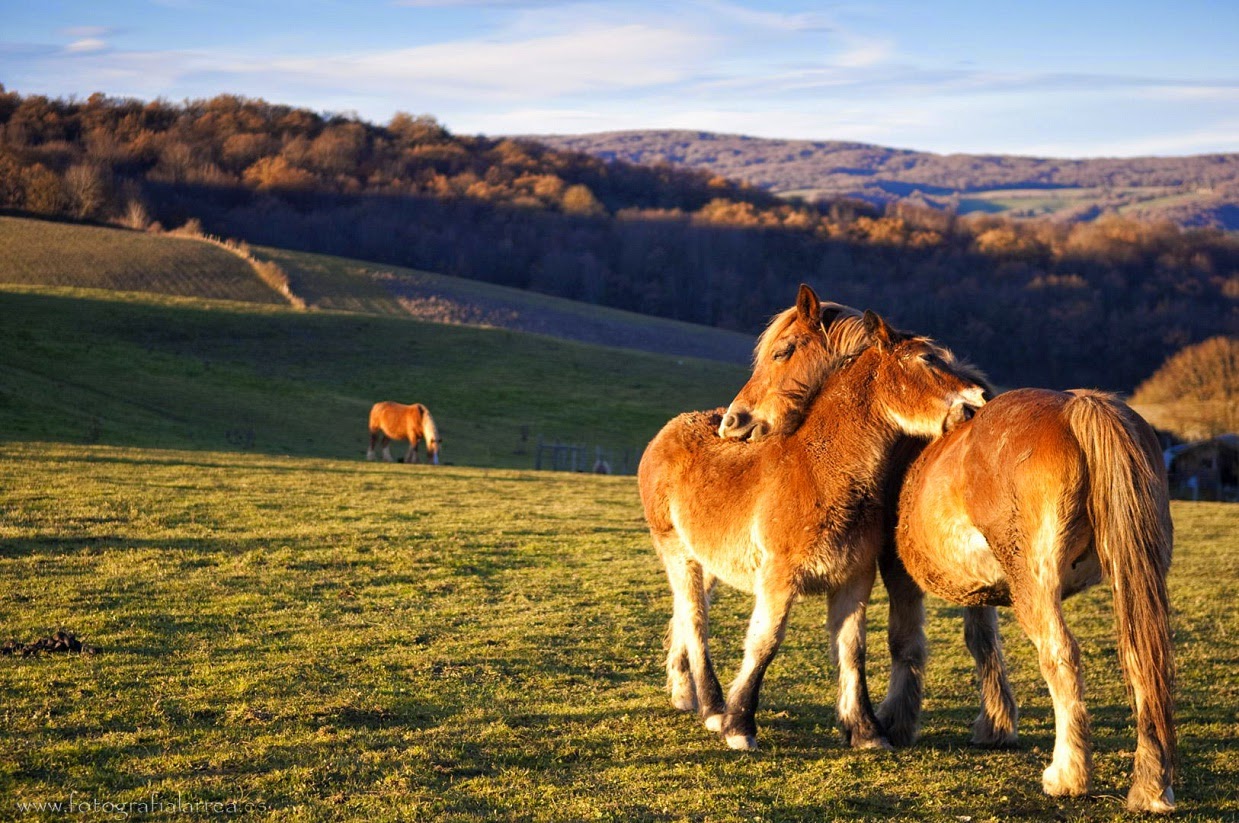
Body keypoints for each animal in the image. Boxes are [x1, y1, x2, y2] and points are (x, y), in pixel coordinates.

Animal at [639, 288, 986, 753]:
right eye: (927, 360)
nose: (978, 399)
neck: (822, 471)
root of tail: (670, 428)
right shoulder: (778, 578)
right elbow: (764, 643)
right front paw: (740, 726)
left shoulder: (854, 580)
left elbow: (852, 650)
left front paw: (866, 731)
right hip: (679, 555)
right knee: (696, 623)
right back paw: (713, 709)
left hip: (706, 561)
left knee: (684, 615)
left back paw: (686, 694)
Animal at [723, 292, 1174, 813]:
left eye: (783, 351)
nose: (733, 420)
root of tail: (1081, 405)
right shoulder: (982, 581)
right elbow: (982, 642)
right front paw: (995, 726)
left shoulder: (896, 572)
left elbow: (905, 642)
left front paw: (894, 722)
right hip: (1133, 577)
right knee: (1143, 658)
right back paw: (1152, 785)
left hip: (1036, 586)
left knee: (1060, 655)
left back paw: (1068, 774)